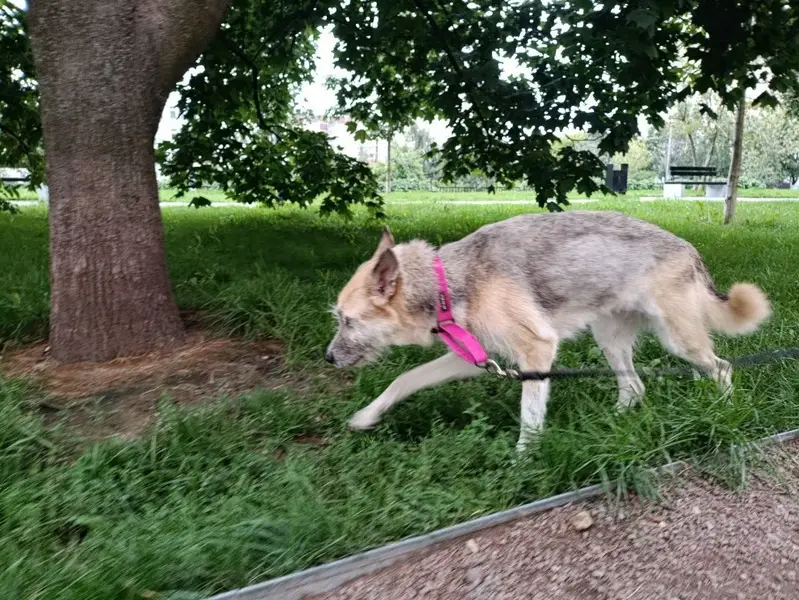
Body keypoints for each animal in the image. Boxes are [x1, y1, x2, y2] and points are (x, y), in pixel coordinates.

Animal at [325, 211, 771, 451]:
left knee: (722, 367)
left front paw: (523, 459)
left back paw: (724, 412)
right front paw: (365, 417)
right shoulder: (473, 358)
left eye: (348, 321)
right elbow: (404, 380)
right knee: (635, 387)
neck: (449, 282)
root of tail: (690, 249)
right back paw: (609, 422)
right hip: (610, 342)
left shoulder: (536, 351)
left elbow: (530, 416)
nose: (328, 358)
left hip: (678, 340)